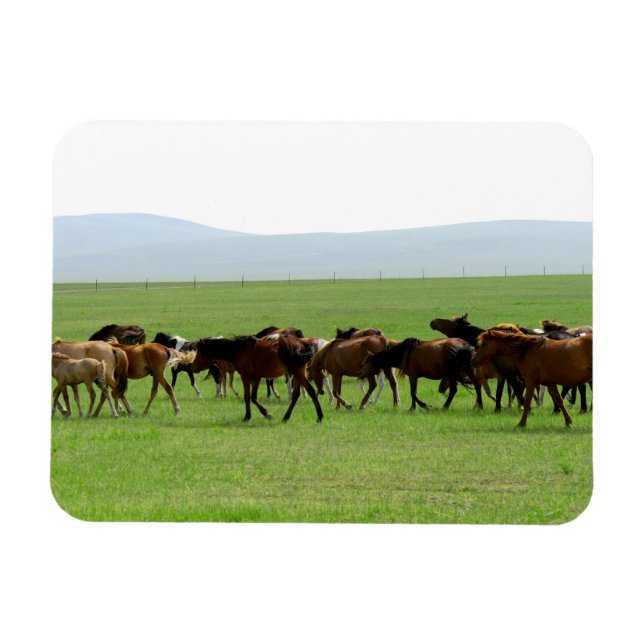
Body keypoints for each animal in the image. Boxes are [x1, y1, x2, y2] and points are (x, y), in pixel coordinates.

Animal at [192, 335, 323, 422]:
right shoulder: (254, 379)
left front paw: (262, 414)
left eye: (199, 353)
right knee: (297, 395)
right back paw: (287, 417)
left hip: (298, 373)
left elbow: (250, 397)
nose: (192, 366)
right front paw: (250, 415)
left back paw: (319, 416)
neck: (239, 350)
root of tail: (303, 344)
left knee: (310, 391)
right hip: (297, 375)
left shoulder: (247, 377)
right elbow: (251, 397)